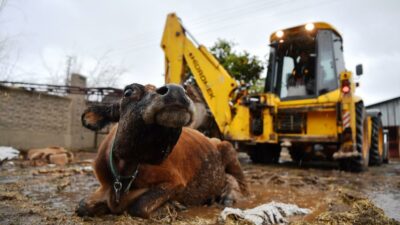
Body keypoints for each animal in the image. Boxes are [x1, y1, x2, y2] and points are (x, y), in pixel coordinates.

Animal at [76, 83, 248, 218]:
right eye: (128, 92)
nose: (176, 90)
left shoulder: (175, 181)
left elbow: (139, 206)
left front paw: (171, 206)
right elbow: (82, 206)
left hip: (228, 149)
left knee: (241, 183)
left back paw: (230, 197)